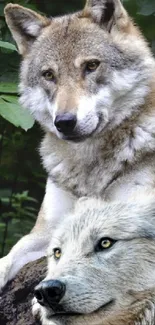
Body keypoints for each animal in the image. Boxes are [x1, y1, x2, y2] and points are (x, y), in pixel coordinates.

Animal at [1, 0, 155, 288]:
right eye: (49, 75)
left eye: (91, 66)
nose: (64, 122)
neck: (88, 167)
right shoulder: (44, 232)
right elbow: (7, 258)